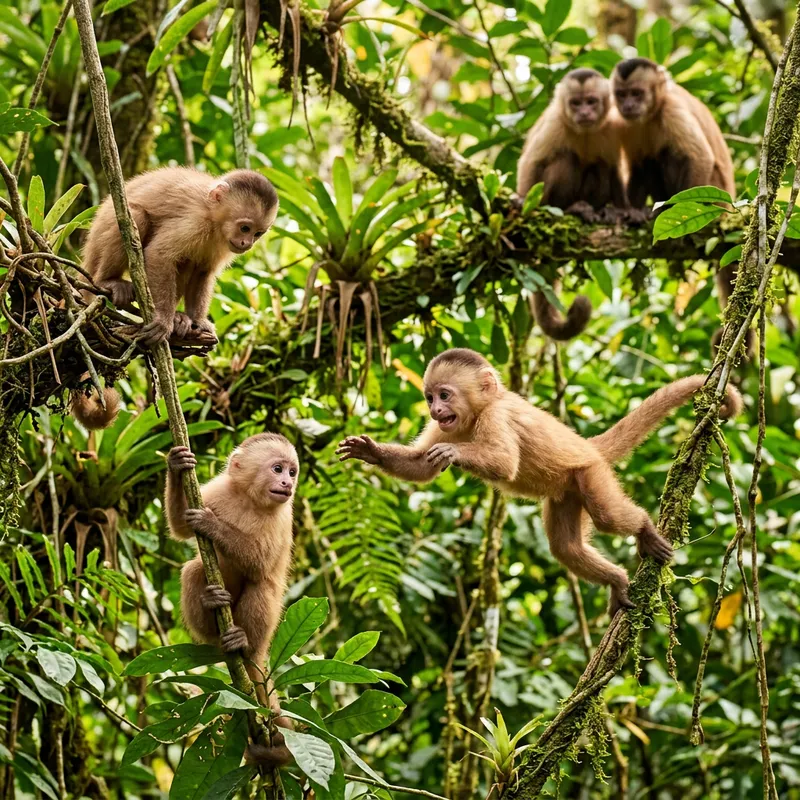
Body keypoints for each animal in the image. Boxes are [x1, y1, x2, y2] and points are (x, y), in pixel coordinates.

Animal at [165, 433, 298, 766]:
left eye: (292, 472)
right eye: (278, 469)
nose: (287, 484)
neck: (250, 498)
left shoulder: (283, 516)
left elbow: (259, 563)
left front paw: (213, 526)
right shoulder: (217, 490)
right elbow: (181, 527)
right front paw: (176, 465)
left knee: (262, 585)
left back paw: (243, 642)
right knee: (194, 569)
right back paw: (212, 607)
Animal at [337, 348, 743, 614]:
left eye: (445, 395)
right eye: (430, 398)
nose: (436, 409)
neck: (478, 413)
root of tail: (587, 445)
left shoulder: (497, 415)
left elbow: (503, 464)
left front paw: (455, 454)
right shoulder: (446, 427)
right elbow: (423, 467)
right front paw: (371, 452)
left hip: (590, 472)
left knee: (607, 516)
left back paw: (643, 528)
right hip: (567, 493)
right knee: (565, 548)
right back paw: (615, 581)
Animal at [516, 69, 627, 340]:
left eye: (591, 101)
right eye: (575, 103)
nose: (584, 113)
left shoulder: (613, 127)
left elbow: (614, 170)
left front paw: (624, 211)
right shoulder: (554, 123)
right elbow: (531, 164)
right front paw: (522, 204)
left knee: (599, 165)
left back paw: (594, 210)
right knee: (565, 158)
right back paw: (571, 209)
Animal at [610, 58, 744, 349]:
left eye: (637, 94)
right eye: (622, 95)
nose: (628, 106)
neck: (651, 113)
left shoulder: (673, 110)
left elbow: (699, 158)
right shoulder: (624, 124)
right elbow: (638, 167)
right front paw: (631, 212)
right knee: (649, 160)